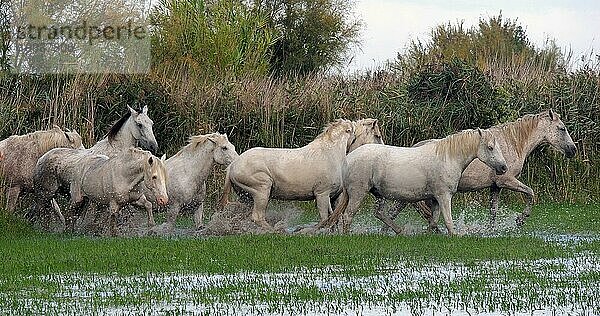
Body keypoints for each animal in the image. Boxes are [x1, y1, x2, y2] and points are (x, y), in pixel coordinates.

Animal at [221, 118, 384, 230]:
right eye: (377, 135)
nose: (384, 150)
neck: (334, 154)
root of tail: (233, 165)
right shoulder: (322, 194)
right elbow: (324, 219)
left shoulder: (333, 197)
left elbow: (333, 218)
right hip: (262, 190)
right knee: (257, 217)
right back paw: (276, 231)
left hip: (246, 197)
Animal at [322, 128, 508, 235]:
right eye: (490, 147)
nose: (504, 168)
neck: (448, 157)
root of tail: (349, 158)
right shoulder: (444, 196)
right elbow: (448, 220)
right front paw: (454, 235)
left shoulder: (435, 199)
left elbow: (433, 220)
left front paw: (430, 234)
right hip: (358, 193)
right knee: (348, 216)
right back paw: (347, 235)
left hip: (378, 194)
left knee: (379, 213)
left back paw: (400, 231)